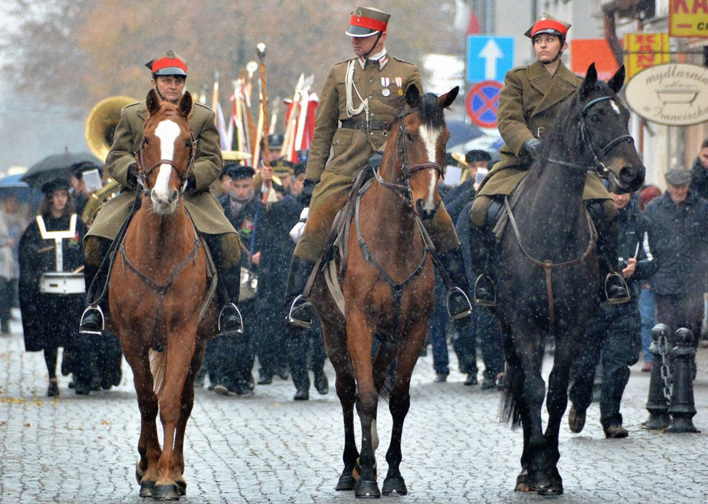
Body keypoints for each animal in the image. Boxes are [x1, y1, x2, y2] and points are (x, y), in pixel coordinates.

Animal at [108, 89, 217, 500]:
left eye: (188, 142)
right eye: (144, 140)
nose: (163, 196)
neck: (158, 249)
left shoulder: (183, 333)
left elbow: (170, 401)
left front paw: (167, 476)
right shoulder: (132, 336)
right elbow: (146, 400)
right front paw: (151, 469)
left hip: (198, 343)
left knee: (184, 400)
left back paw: (177, 472)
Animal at [310, 84, 460, 498]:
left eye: (445, 138)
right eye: (408, 135)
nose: (427, 205)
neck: (394, 238)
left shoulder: (412, 329)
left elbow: (397, 400)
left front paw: (391, 473)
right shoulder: (358, 324)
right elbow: (362, 398)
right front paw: (365, 478)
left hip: (388, 337)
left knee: (377, 381)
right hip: (332, 329)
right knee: (347, 390)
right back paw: (351, 468)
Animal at [486, 64, 648, 496]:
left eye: (626, 115)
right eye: (596, 116)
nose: (633, 173)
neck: (551, 229)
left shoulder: (574, 324)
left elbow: (557, 390)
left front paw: (550, 470)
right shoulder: (524, 323)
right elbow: (533, 389)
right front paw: (536, 466)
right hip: (506, 326)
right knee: (520, 383)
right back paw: (525, 468)